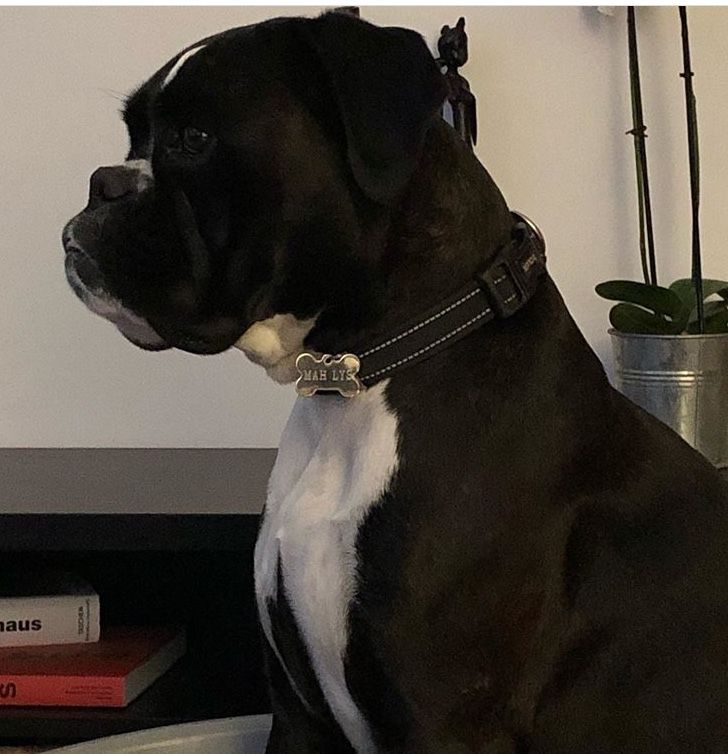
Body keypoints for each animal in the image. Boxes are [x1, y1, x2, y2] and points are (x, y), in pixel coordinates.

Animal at [63, 12, 728, 753]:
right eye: (133, 137)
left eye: (193, 139)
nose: (102, 181)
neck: (355, 382)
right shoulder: (298, 717)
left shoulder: (441, 724)